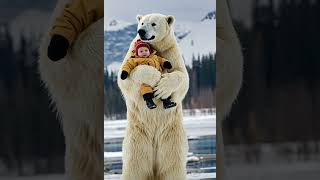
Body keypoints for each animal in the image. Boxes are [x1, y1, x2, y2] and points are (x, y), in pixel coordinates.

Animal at [117, 13, 190, 180]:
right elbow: (125, 77)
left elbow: (182, 77)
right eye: (142, 23)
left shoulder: (172, 52)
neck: (157, 48)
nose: (141, 31)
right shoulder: (131, 52)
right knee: (134, 167)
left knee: (173, 167)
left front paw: (163, 88)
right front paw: (155, 76)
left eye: (154, 23)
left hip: (172, 138)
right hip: (137, 139)